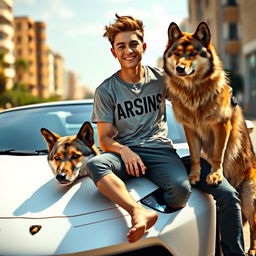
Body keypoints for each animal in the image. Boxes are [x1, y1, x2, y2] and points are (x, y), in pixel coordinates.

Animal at [163, 21, 256, 254]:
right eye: (177, 53)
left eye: (193, 53)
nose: (179, 68)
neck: (195, 91)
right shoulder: (190, 129)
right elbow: (196, 155)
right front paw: (195, 175)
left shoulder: (221, 125)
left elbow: (217, 154)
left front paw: (214, 174)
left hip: (248, 199)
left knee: (254, 226)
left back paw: (252, 249)